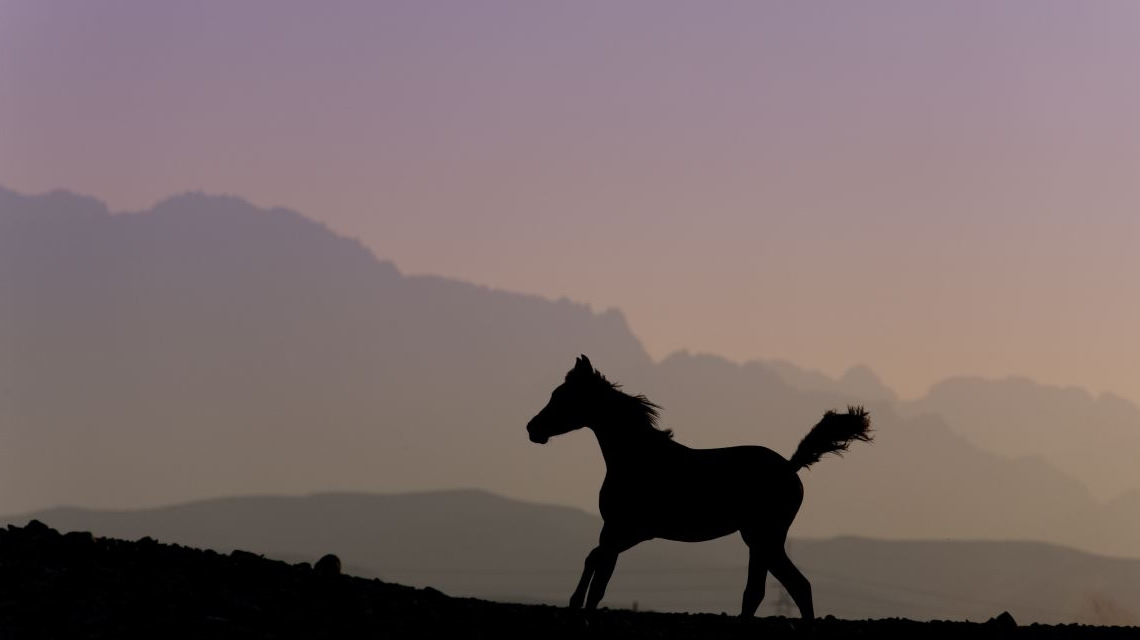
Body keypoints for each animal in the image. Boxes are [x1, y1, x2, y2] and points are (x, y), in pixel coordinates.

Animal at [526, 355, 872, 620]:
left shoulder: (629, 530)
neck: (637, 457)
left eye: (563, 396)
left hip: (765, 538)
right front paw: (579, 607)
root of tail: (790, 466)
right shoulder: (618, 531)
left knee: (795, 586)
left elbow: (596, 567)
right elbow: (597, 573)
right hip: (758, 540)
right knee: (763, 590)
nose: (533, 428)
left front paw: (576, 608)